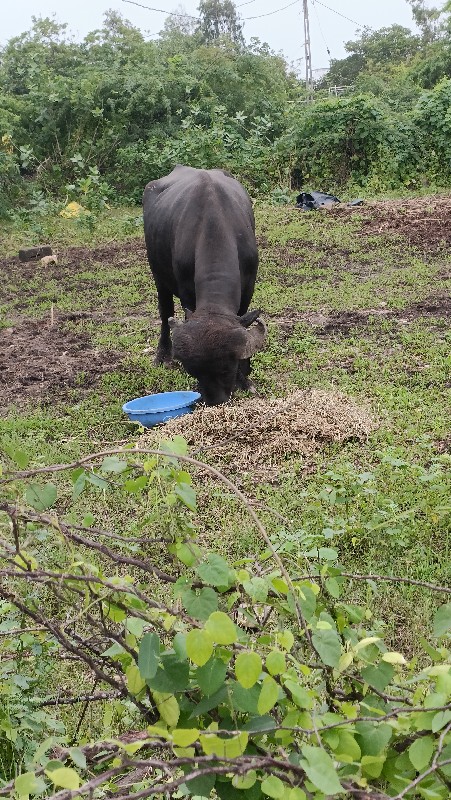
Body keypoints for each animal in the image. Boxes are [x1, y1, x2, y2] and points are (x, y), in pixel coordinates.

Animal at [143, 167, 266, 406]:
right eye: (194, 372)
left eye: (227, 369)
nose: (215, 400)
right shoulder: (186, 292)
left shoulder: (249, 286)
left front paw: (245, 377)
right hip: (158, 275)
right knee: (164, 312)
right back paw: (162, 356)